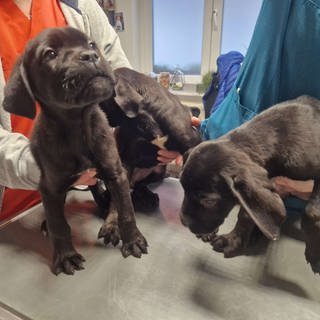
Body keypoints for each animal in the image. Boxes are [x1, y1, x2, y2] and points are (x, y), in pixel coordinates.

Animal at [2, 26, 148, 276]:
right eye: (50, 54)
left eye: (91, 44)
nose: (90, 56)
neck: (77, 125)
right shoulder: (50, 187)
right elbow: (59, 224)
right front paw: (66, 256)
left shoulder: (115, 171)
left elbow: (125, 209)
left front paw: (132, 240)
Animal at [180, 94, 320, 272]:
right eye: (183, 188)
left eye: (209, 201)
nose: (183, 222)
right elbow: (247, 213)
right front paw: (233, 240)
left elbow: (311, 212)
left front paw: (315, 255)